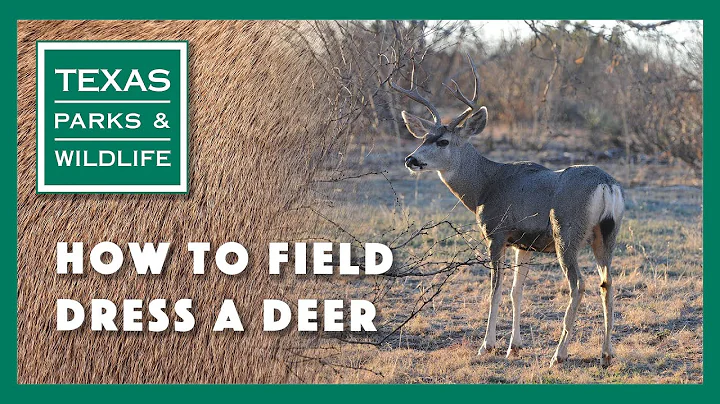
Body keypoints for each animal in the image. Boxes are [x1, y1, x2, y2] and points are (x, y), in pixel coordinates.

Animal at [390, 55, 624, 367]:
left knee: (579, 285)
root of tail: (606, 184)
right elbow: (516, 291)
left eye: (443, 141)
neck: (484, 186)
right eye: (423, 137)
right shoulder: (523, 243)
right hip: (607, 235)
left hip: (566, 233)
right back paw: (606, 353)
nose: (411, 159)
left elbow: (495, 289)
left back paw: (559, 354)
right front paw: (515, 346)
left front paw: (487, 346)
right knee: (607, 283)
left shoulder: (496, 233)